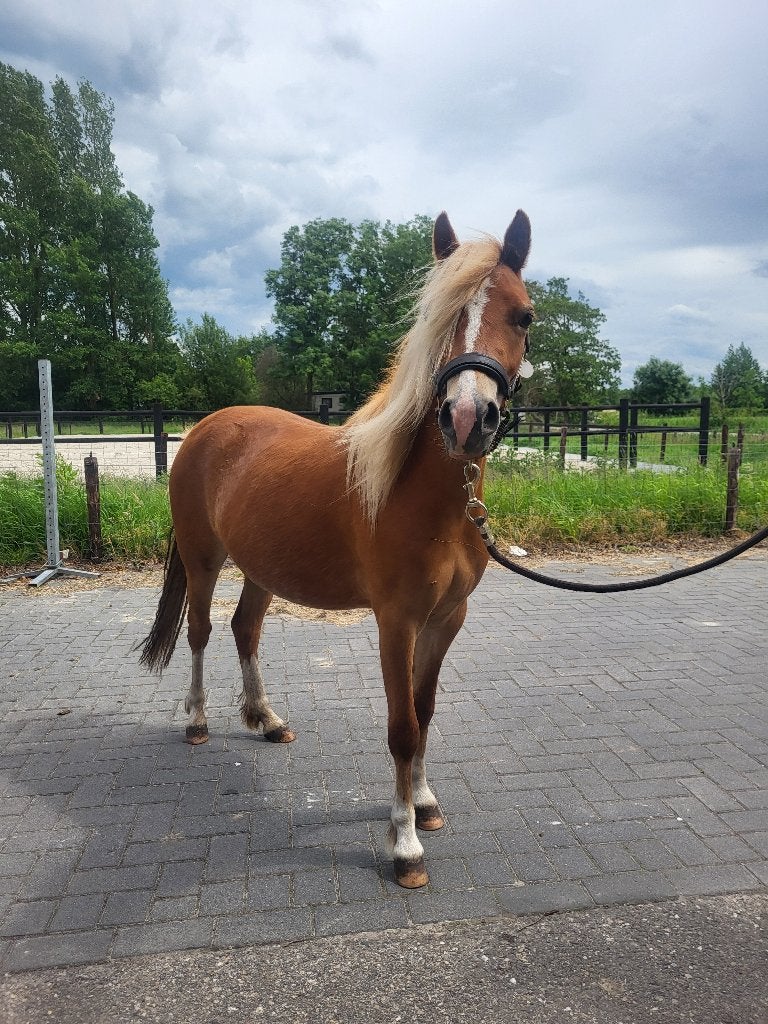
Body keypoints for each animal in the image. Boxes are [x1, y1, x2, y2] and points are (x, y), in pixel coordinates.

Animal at [138, 210, 534, 888]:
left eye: (524, 316)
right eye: (438, 318)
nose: (466, 418)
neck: (424, 496)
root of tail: (207, 426)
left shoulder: (446, 619)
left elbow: (426, 710)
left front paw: (424, 803)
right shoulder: (396, 622)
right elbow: (402, 727)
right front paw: (404, 844)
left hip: (261, 568)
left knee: (245, 629)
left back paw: (266, 720)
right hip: (202, 558)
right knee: (200, 632)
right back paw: (197, 720)